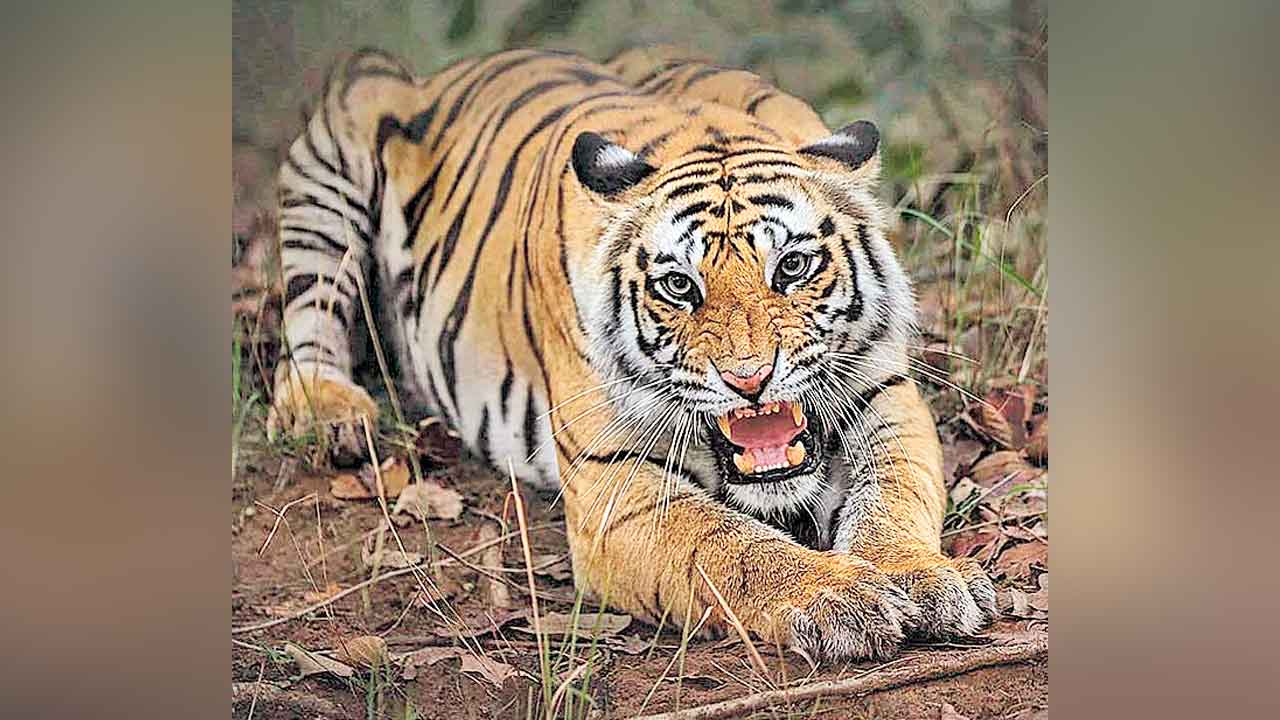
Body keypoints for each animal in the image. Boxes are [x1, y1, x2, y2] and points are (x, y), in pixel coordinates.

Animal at [266, 45, 997, 661]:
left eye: (791, 267)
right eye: (679, 286)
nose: (750, 380)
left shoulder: (887, 392)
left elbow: (894, 492)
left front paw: (922, 577)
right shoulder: (615, 483)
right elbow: (730, 546)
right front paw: (840, 594)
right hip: (340, 135)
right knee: (308, 319)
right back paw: (332, 412)